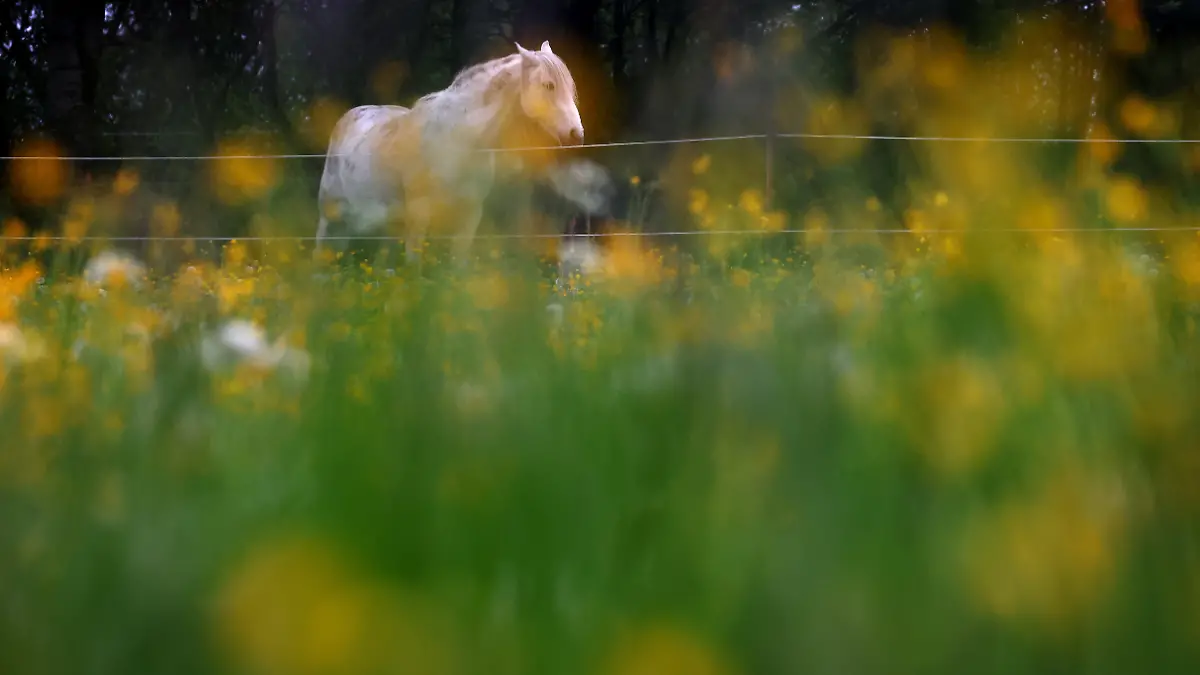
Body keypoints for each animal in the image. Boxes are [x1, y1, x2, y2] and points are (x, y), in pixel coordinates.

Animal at [315, 41, 585, 266]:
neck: (460, 140)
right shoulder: (418, 216)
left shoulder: (469, 215)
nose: (576, 133)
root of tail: (350, 115)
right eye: (548, 85)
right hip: (330, 213)